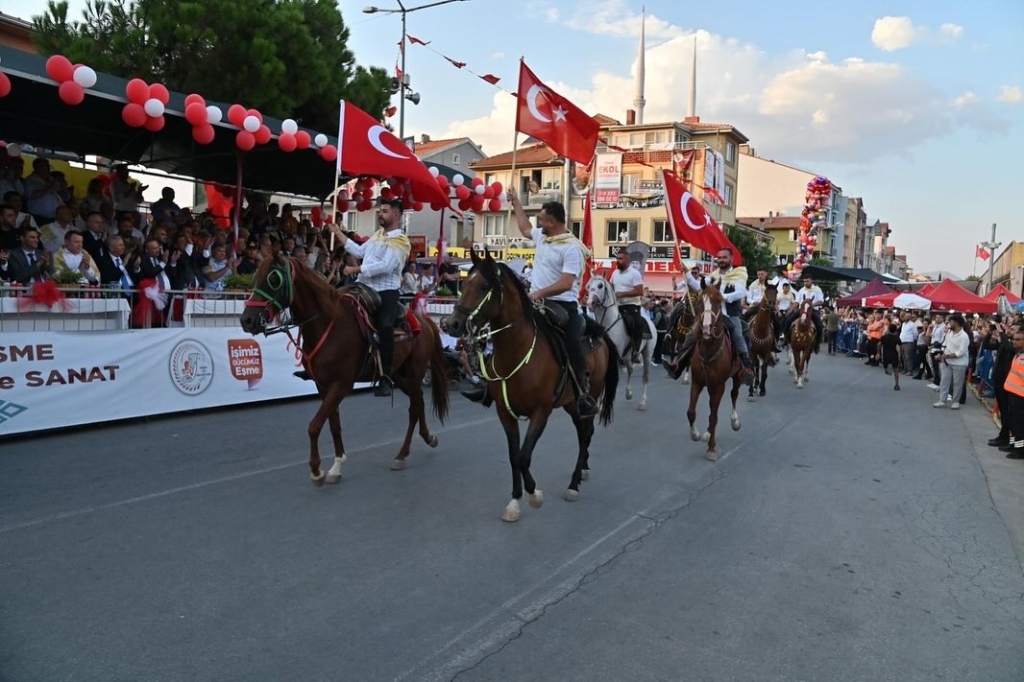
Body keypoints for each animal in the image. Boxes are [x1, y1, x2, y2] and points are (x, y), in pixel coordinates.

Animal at [241, 251, 450, 481]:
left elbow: (314, 426)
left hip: (413, 374)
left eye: (274, 279)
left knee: (414, 409)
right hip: (399, 376)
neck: (329, 324)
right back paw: (429, 437)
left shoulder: (341, 385)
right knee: (419, 402)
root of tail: (425, 320)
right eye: (255, 276)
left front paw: (316, 470)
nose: (247, 320)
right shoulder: (323, 386)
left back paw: (402, 455)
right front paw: (336, 466)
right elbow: (333, 425)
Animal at [446, 248, 618, 520]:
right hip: (570, 403)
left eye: (483, 286)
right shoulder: (505, 413)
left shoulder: (540, 412)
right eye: (464, 284)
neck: (518, 352)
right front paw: (515, 501)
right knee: (583, 433)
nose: (451, 324)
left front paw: (534, 495)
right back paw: (583, 470)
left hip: (588, 397)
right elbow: (514, 456)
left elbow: (525, 456)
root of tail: (599, 332)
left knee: (584, 434)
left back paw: (574, 483)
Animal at [585, 274, 655, 411]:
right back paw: (628, 393)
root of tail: (650, 322)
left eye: (600, 285)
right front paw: (598, 404)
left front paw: (602, 405)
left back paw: (642, 402)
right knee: (630, 370)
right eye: (588, 286)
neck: (608, 323)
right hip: (627, 357)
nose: (590, 303)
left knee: (645, 377)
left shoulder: (613, 357)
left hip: (647, 354)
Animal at [684, 278, 741, 458]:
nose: (707, 328)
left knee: (734, 394)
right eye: (700, 302)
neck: (709, 350)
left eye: (718, 301)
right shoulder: (697, 382)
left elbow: (714, 416)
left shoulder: (719, 386)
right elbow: (691, 412)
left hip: (737, 375)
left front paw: (711, 448)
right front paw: (695, 434)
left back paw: (735, 421)